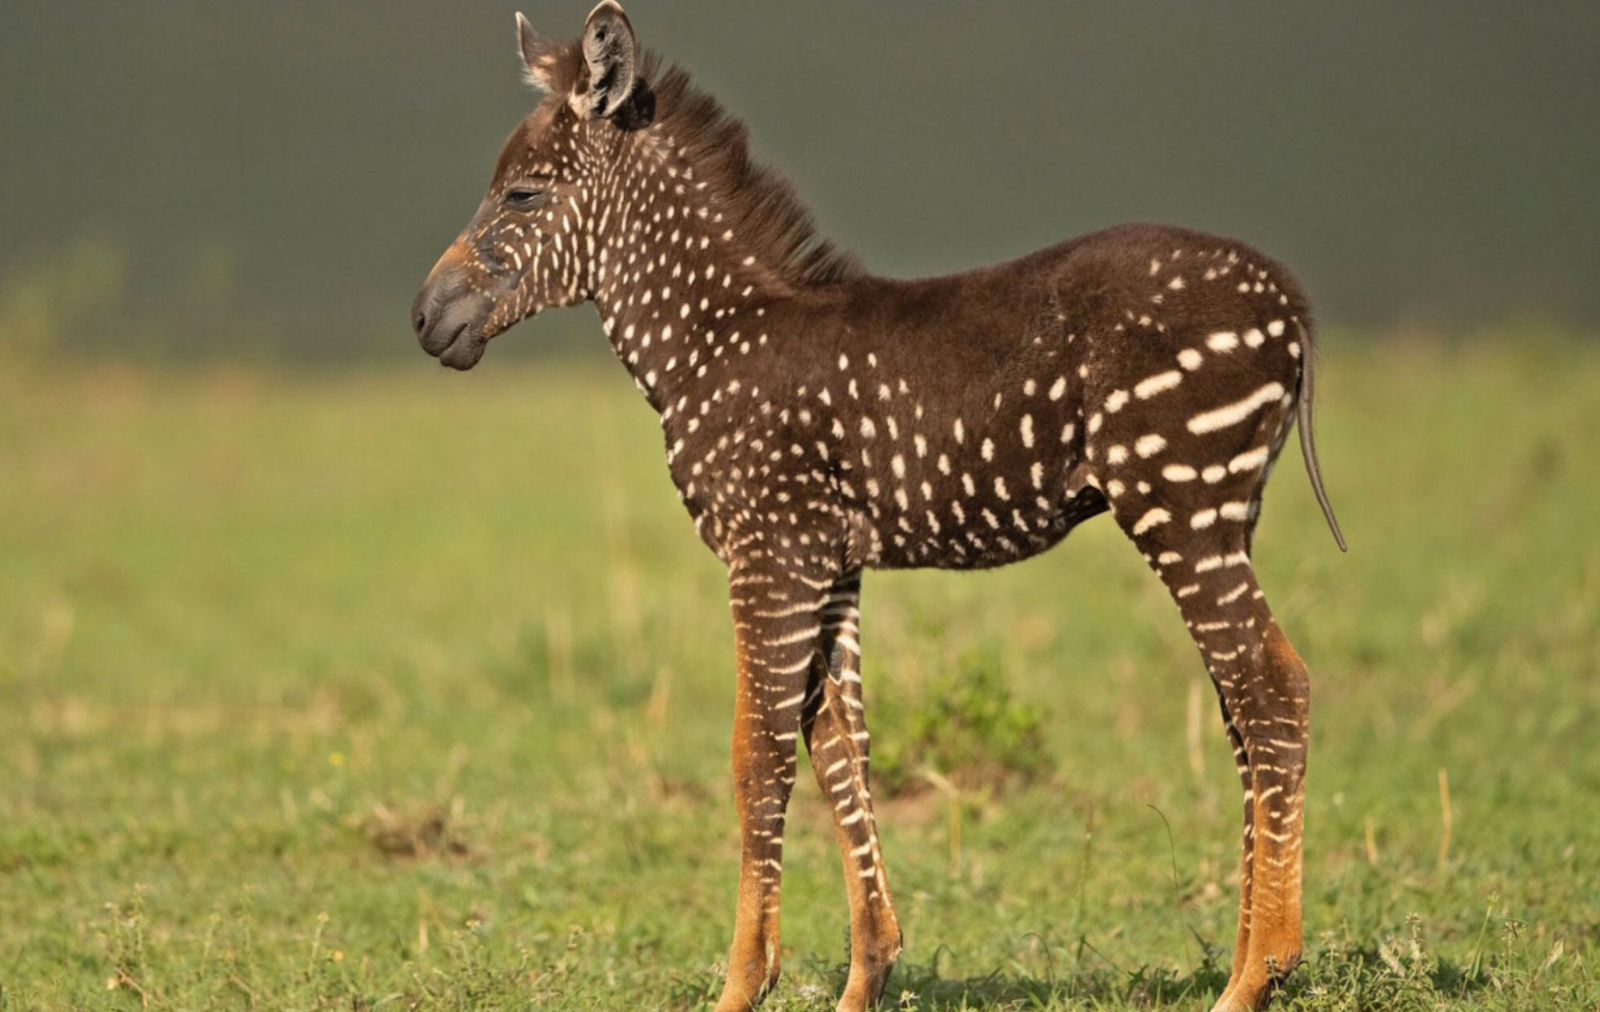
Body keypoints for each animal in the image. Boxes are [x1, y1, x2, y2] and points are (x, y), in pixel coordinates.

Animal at [410, 5, 1345, 1010]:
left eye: (521, 197)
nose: (423, 320)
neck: (714, 337)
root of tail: (1289, 300)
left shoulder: (769, 554)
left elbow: (758, 756)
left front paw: (743, 983)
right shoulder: (830, 563)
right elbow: (839, 749)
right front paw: (868, 973)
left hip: (1180, 501)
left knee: (1272, 688)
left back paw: (1258, 974)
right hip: (1223, 516)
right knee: (1242, 707)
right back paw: (1252, 958)